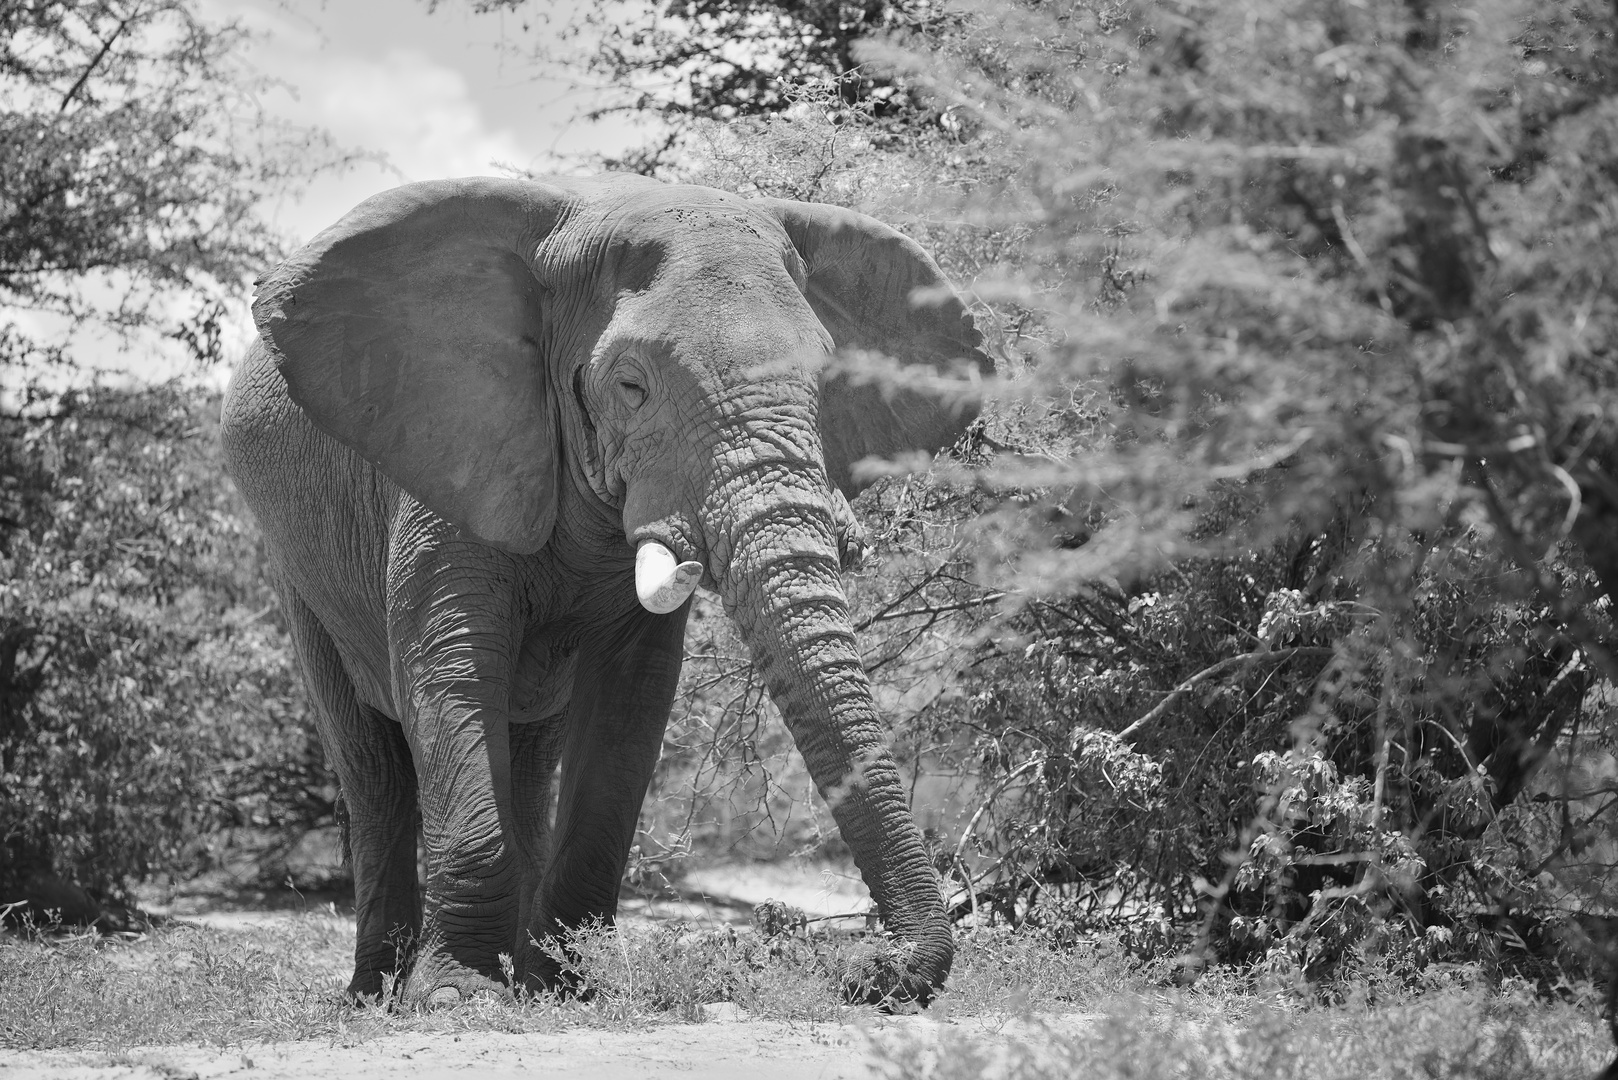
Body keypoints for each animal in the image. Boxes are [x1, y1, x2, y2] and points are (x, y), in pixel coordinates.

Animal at [221, 173, 990, 1010]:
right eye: (630, 386)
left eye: (828, 381)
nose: (867, 971)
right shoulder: (450, 455)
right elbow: (449, 665)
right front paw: (456, 998)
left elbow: (632, 699)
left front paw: (567, 989)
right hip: (295, 563)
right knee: (373, 770)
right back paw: (374, 995)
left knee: (528, 755)